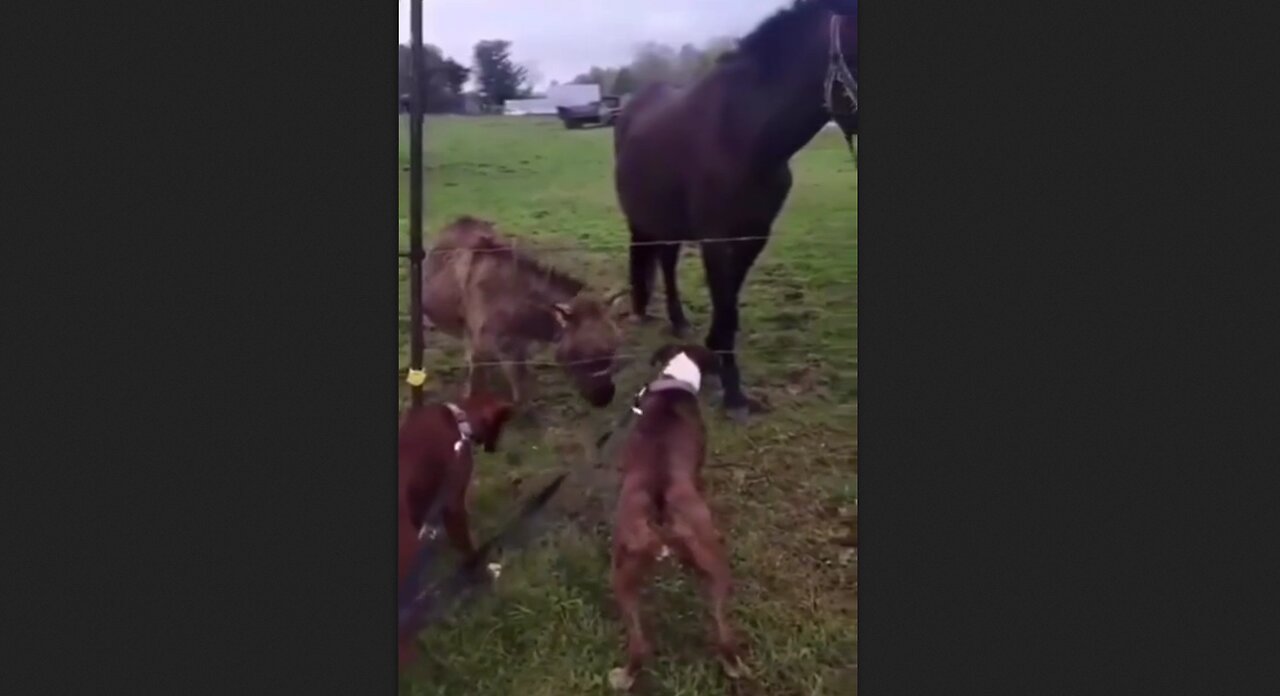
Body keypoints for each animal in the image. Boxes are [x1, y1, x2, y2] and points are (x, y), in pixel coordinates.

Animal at [396, 388, 512, 670]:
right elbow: (469, 550)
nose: (494, 448)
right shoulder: (454, 505)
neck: (460, 420)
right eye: (502, 422)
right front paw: (482, 574)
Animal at [611, 0, 860, 419]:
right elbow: (726, 306)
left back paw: (679, 322)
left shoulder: (753, 235)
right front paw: (733, 395)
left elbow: (729, 306)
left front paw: (713, 353)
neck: (745, 134)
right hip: (646, 219)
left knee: (667, 262)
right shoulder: (716, 239)